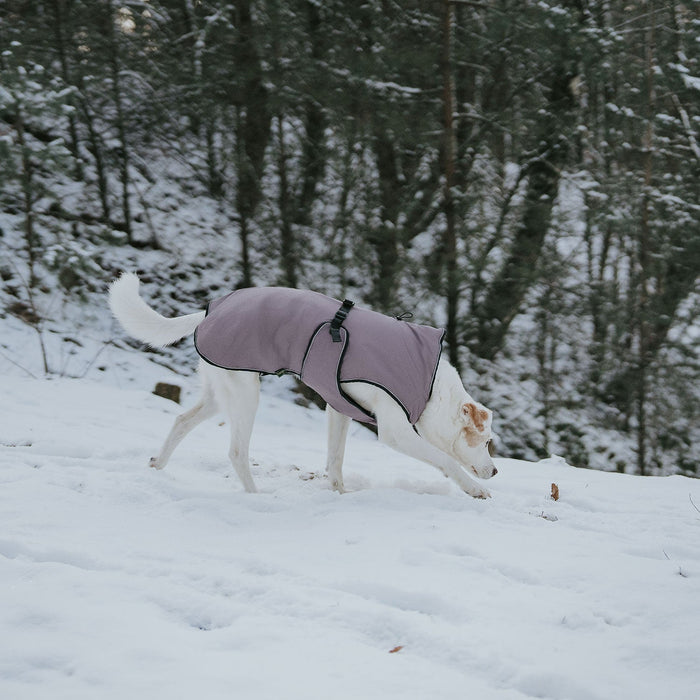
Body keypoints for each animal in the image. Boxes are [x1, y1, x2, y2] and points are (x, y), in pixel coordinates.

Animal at [109, 274, 498, 498]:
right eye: (486, 442)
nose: (496, 471)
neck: (431, 386)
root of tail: (211, 311)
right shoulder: (395, 432)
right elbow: (444, 460)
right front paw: (475, 489)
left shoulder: (338, 410)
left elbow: (335, 459)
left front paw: (340, 493)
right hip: (246, 395)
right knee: (236, 452)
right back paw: (255, 495)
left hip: (220, 393)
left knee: (181, 421)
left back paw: (157, 466)